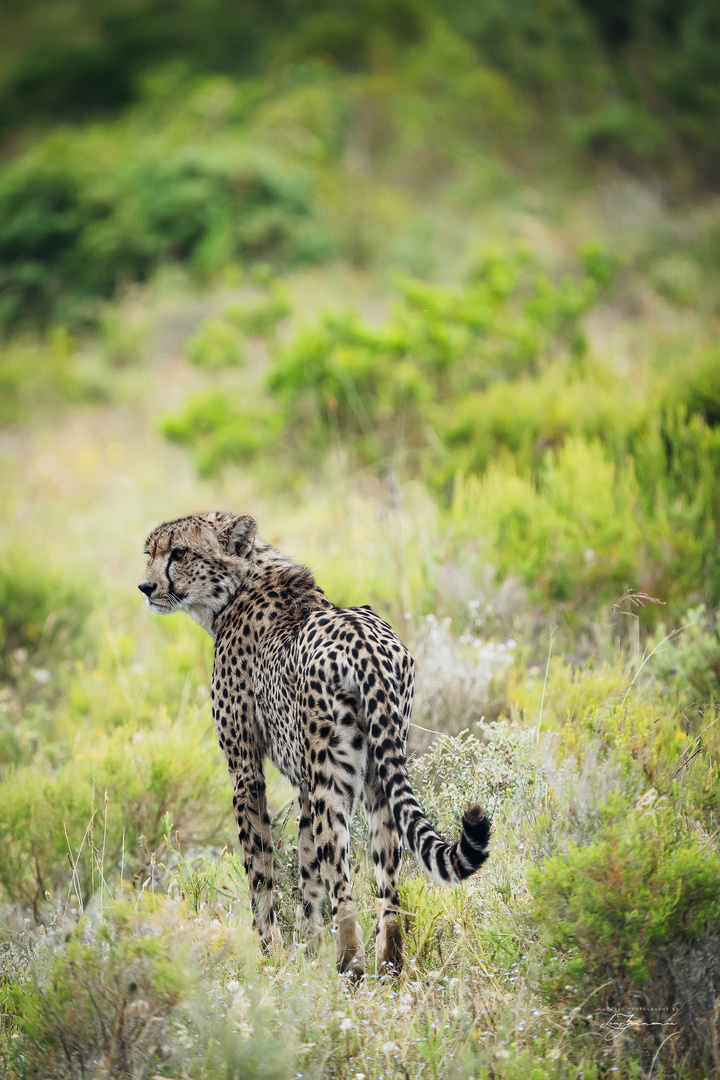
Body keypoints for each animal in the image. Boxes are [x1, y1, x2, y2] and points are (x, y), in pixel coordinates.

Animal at [140, 514, 490, 980]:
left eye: (179, 552)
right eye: (150, 553)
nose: (145, 587)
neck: (239, 585)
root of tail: (365, 643)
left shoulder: (246, 772)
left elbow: (260, 868)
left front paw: (269, 954)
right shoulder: (305, 782)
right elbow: (307, 873)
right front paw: (306, 950)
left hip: (334, 782)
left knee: (343, 885)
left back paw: (349, 968)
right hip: (378, 774)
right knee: (388, 885)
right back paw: (389, 966)